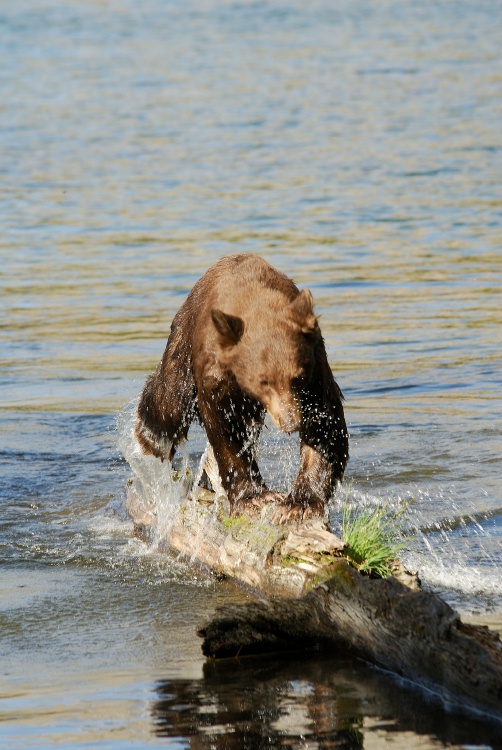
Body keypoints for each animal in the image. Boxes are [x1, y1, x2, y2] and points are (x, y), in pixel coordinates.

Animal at [137, 254, 350, 524]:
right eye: (263, 381)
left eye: (297, 378)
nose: (291, 423)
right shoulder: (216, 374)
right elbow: (225, 432)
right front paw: (253, 497)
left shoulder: (315, 371)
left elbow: (325, 424)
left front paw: (300, 504)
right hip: (184, 339)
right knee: (170, 399)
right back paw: (148, 439)